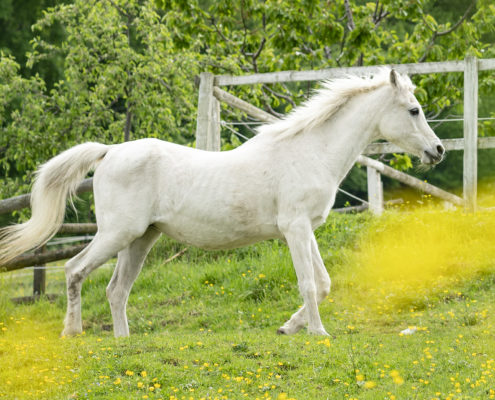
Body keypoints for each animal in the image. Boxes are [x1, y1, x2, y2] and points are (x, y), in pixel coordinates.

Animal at [0, 69, 444, 338]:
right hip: (116, 234)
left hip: (140, 240)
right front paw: (318, 334)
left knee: (116, 290)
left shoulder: (307, 230)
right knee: (75, 271)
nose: (438, 150)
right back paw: (72, 331)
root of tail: (109, 152)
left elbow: (323, 284)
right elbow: (307, 283)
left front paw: (288, 329)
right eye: (414, 110)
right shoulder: (295, 229)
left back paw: (124, 341)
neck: (310, 151)